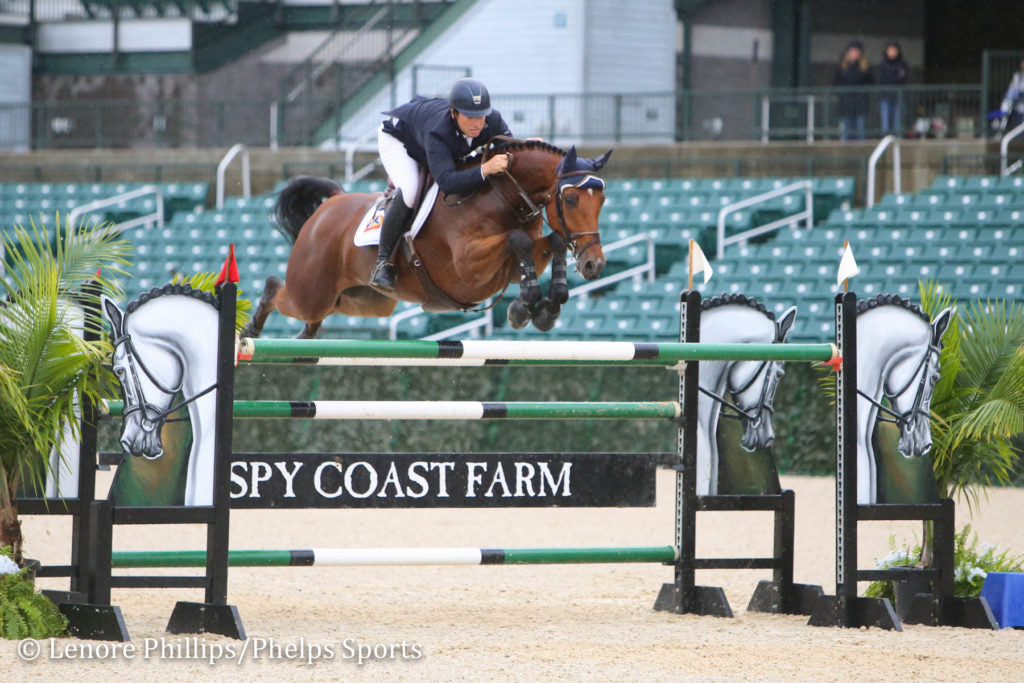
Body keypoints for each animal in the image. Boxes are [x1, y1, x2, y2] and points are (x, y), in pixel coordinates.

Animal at [243, 141, 610, 339]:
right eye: (571, 199)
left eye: (602, 201)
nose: (594, 264)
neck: (502, 195)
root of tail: (330, 204)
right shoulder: (469, 266)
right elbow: (517, 240)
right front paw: (524, 307)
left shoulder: (527, 254)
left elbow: (553, 242)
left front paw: (548, 305)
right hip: (313, 291)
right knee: (278, 289)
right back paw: (250, 331)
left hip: (365, 301)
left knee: (318, 313)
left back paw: (306, 336)